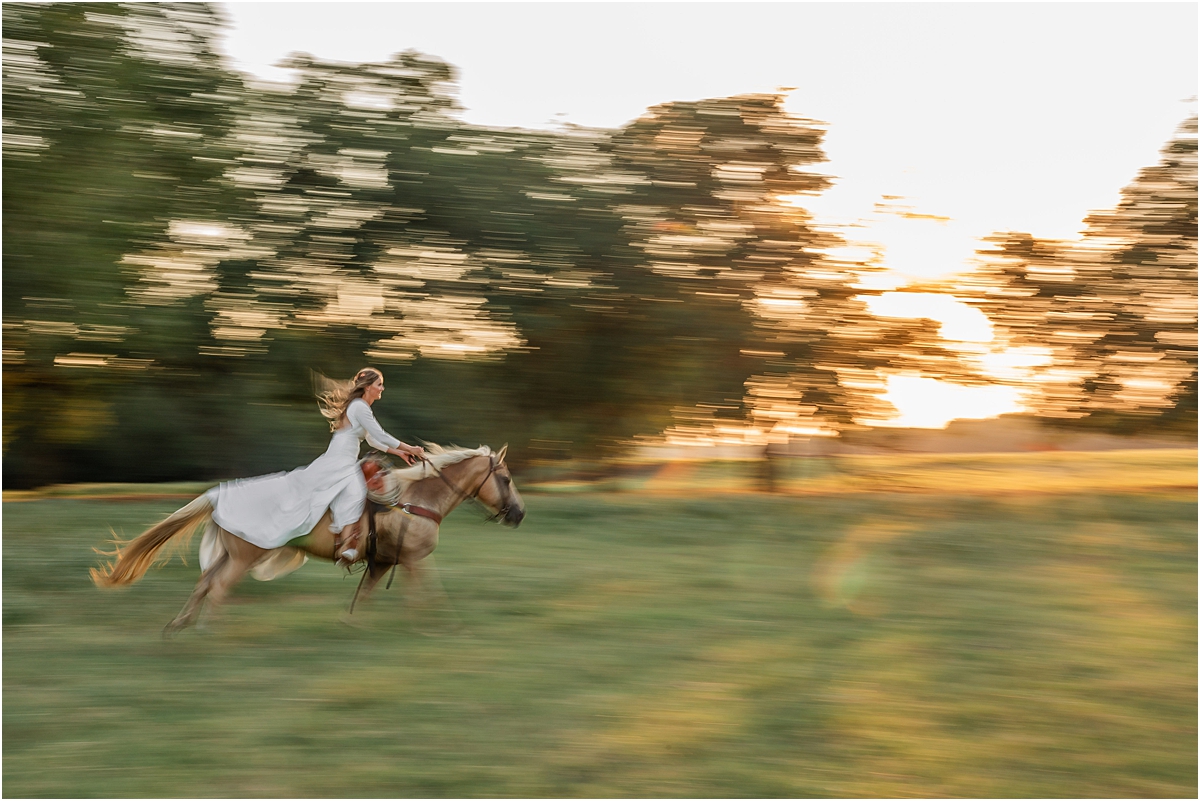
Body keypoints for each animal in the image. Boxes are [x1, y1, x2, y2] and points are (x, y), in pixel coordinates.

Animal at [91, 441, 523, 633]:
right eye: (504, 479)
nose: (518, 514)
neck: (416, 500)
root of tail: (217, 494)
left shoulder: (385, 562)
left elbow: (367, 595)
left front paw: (350, 624)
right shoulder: (414, 559)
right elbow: (428, 594)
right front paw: (444, 625)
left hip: (227, 554)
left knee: (203, 584)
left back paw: (180, 626)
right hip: (244, 558)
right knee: (218, 589)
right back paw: (211, 635)